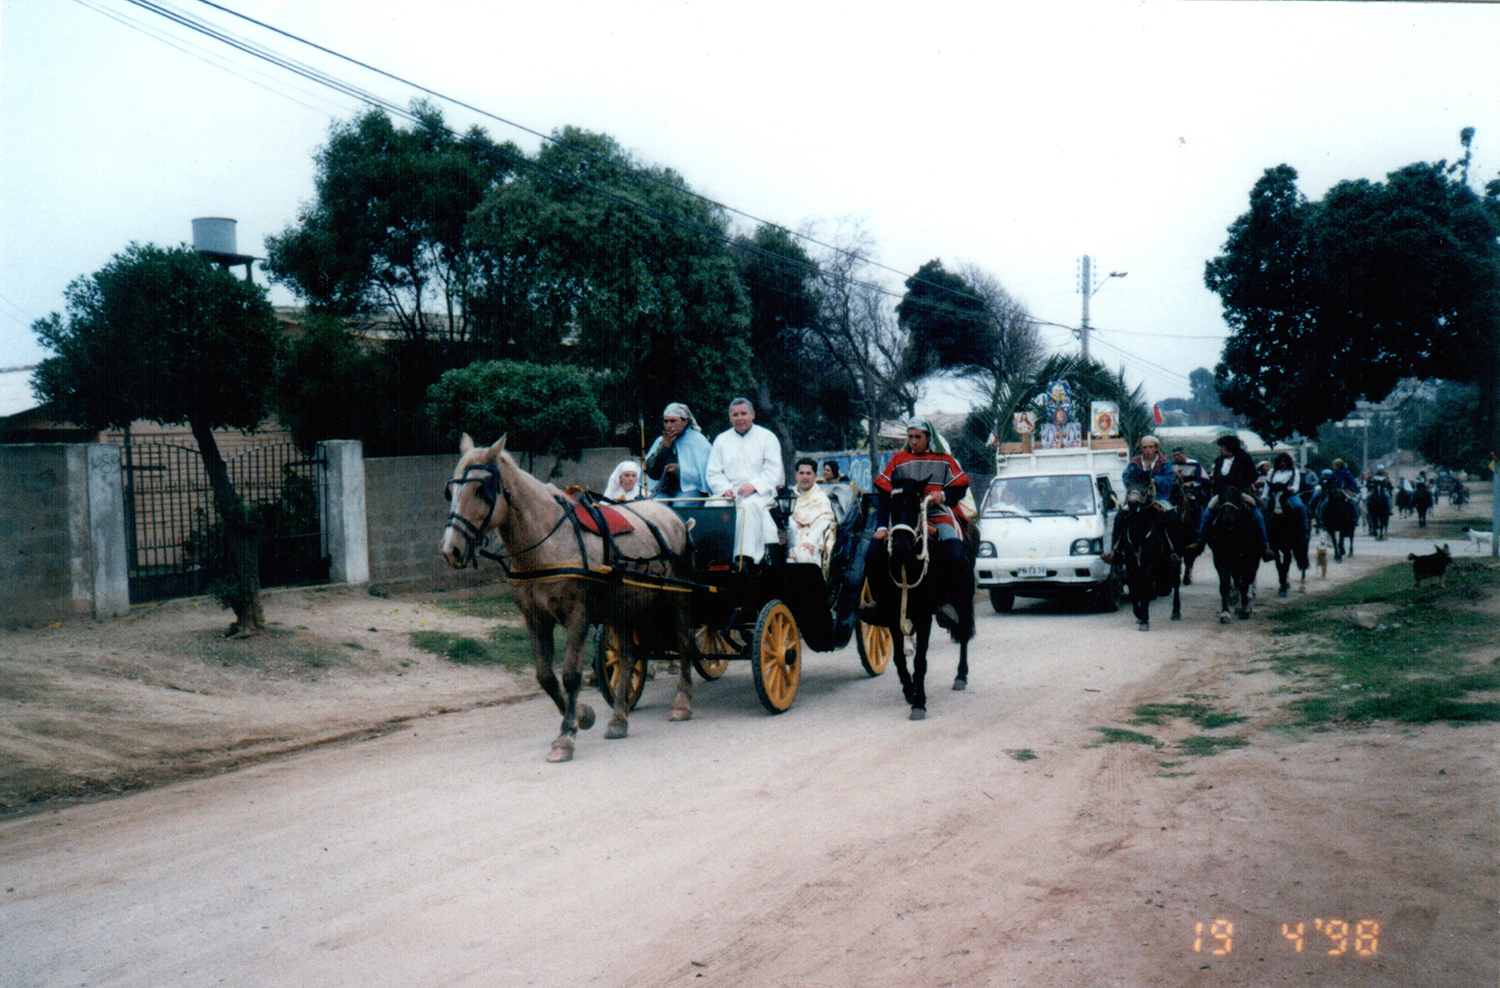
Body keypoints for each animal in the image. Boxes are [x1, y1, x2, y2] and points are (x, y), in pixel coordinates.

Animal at [438, 434, 696, 764]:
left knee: (685, 643)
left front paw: (566, 737)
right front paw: (582, 716)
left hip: (678, 600)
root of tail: (673, 516)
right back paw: (619, 718)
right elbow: (546, 677)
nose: (451, 550)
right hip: (625, 608)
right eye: (451, 491)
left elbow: (571, 674)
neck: (547, 540)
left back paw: (682, 702)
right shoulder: (534, 617)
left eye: (482, 490)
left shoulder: (577, 615)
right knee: (628, 657)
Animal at [864, 485, 978, 722]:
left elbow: (920, 661)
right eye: (892, 507)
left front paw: (919, 703)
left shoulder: (924, 617)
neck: (906, 567)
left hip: (963, 597)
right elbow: (899, 658)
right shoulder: (892, 616)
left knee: (963, 634)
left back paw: (960, 676)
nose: (900, 548)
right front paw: (909, 691)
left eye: (917, 508)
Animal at [1122, 479, 1188, 632]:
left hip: (1175, 557)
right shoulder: (1131, 560)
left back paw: (1176, 611)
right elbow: (1134, 582)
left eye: (1146, 484)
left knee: (1176, 581)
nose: (1133, 503)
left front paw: (1144, 619)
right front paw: (1139, 613)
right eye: (1129, 482)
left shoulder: (1149, 561)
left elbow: (1145, 582)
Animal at [1200, 491, 1260, 623]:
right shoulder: (1220, 558)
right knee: (1238, 580)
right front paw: (1225, 613)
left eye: (1237, 495)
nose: (1227, 520)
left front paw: (1245, 609)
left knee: (1249, 579)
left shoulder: (1248, 559)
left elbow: (1245, 582)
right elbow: (1225, 585)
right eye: (1221, 494)